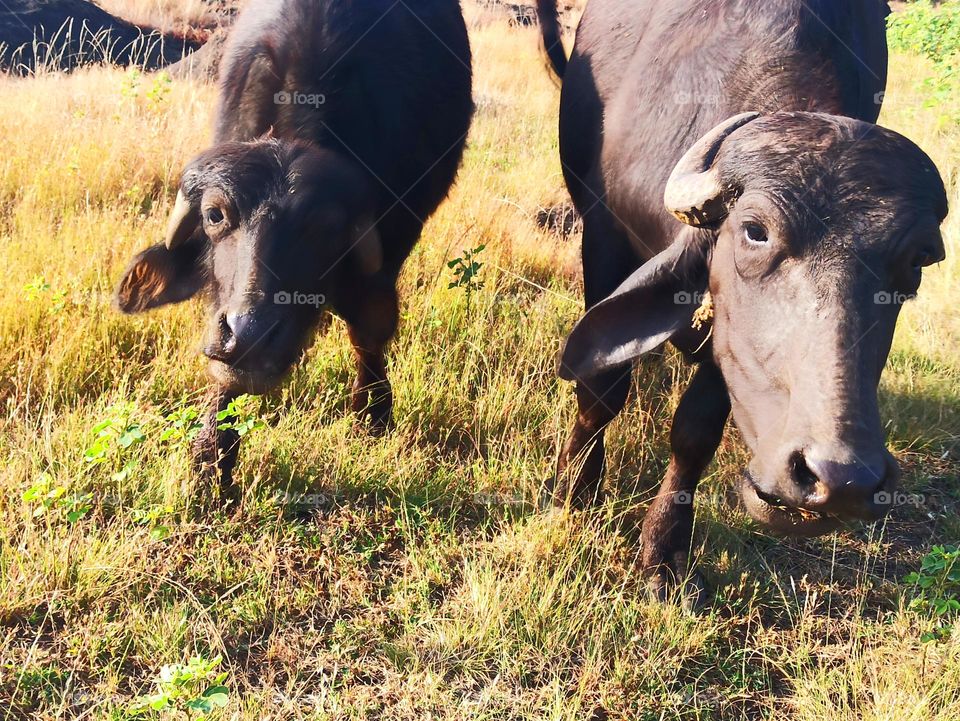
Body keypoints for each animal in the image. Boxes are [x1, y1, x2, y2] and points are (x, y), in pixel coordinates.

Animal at [116, 0, 473, 499]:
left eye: (325, 228)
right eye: (215, 214)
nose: (248, 335)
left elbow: (367, 331)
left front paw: (373, 412)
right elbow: (224, 380)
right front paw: (211, 460)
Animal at [537, 0, 948, 602]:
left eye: (916, 262)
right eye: (755, 231)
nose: (842, 479)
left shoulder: (729, 342)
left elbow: (696, 430)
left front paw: (663, 551)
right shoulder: (603, 234)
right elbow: (601, 388)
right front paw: (574, 489)